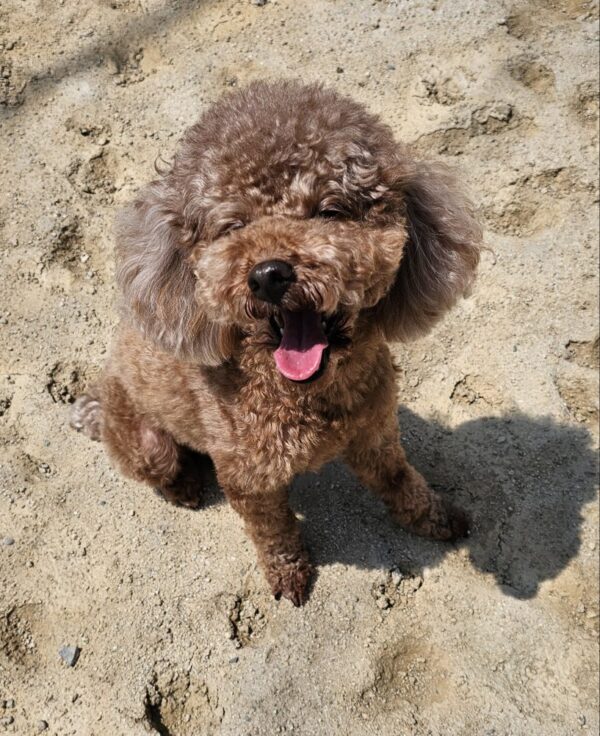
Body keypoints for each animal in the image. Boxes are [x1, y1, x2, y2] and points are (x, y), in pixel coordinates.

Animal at [70, 80, 481, 606]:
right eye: (233, 226)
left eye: (329, 211)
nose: (268, 274)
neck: (307, 397)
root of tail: (100, 403)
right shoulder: (249, 481)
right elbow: (273, 530)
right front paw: (289, 575)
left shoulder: (376, 436)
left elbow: (400, 481)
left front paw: (437, 517)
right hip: (145, 443)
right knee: (158, 466)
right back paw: (183, 487)